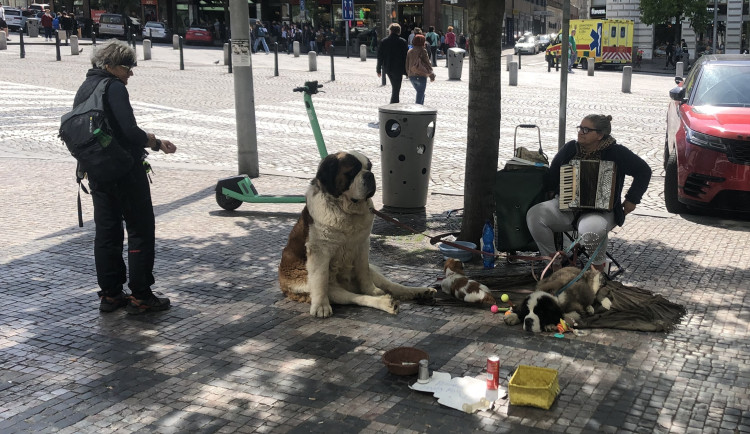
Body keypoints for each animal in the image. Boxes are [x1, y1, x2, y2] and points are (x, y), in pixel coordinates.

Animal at [280, 151, 438, 318]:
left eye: (369, 167)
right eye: (352, 171)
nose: (369, 175)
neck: (347, 211)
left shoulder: (362, 245)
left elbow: (363, 271)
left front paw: (372, 290)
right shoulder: (320, 250)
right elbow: (320, 280)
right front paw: (321, 307)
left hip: (374, 273)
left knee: (391, 286)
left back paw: (420, 292)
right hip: (323, 286)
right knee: (355, 297)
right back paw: (386, 303)